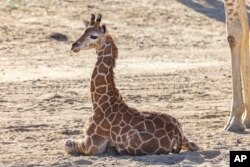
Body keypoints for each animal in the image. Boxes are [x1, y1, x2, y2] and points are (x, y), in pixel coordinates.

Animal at [65, 13, 198, 156]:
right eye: (83, 31)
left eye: (94, 36)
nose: (74, 45)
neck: (100, 103)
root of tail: (176, 134)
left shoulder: (92, 145)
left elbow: (66, 144)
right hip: (180, 128)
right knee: (194, 145)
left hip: (130, 144)